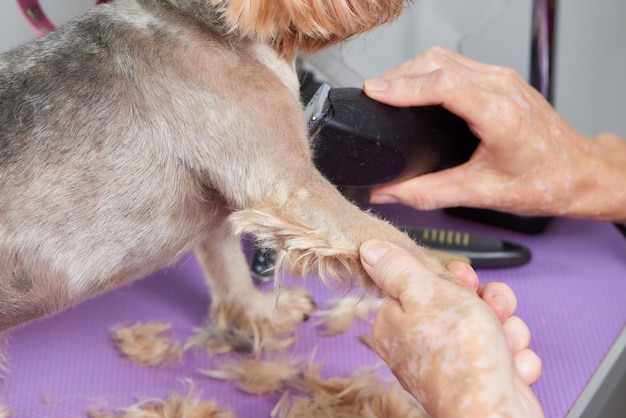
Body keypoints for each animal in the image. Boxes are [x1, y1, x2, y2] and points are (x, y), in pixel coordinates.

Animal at [0, 0, 508, 412]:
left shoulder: (222, 205)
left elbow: (228, 268)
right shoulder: (288, 183)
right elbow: (389, 238)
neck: (209, 21)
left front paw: (260, 314)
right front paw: (460, 311)